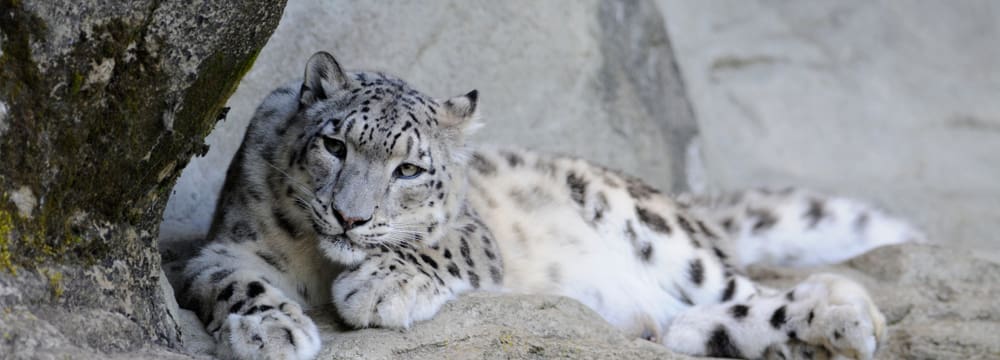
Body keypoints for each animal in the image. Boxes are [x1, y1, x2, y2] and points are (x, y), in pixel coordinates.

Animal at [172, 51, 920, 360]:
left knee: (750, 287)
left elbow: (435, 245)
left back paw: (846, 316)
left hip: (656, 229)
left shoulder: (474, 236)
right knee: (699, 324)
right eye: (334, 144)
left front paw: (376, 287)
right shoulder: (222, 247)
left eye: (409, 168)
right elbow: (237, 281)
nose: (351, 218)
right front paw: (271, 330)